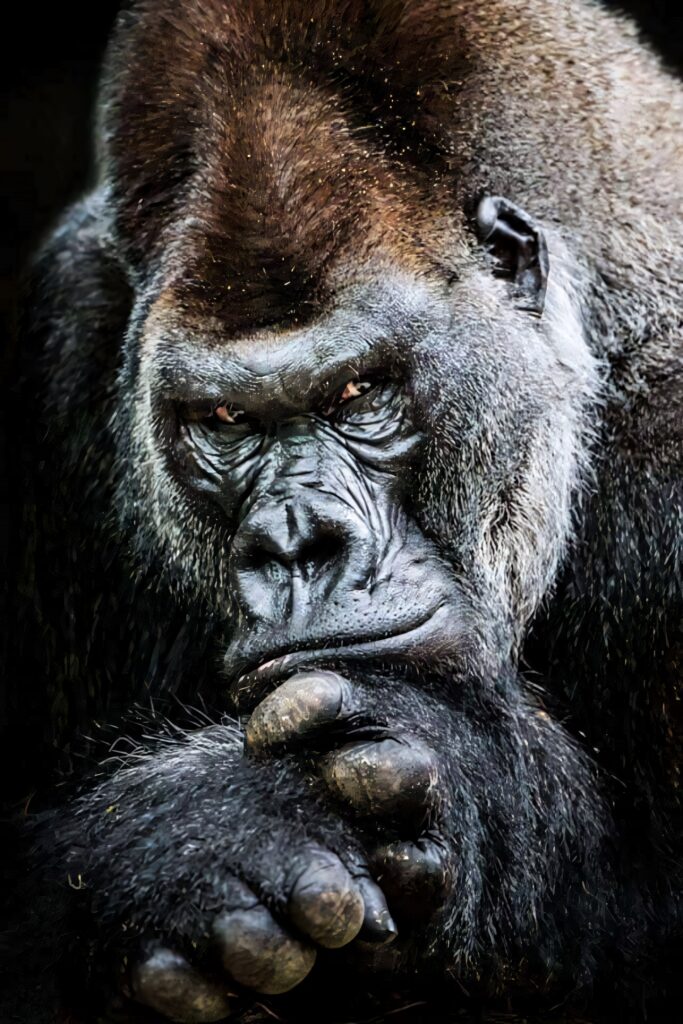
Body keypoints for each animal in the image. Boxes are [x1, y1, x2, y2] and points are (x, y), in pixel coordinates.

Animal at [1, 1, 681, 1022]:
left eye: (361, 392)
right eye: (224, 420)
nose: (295, 543)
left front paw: (467, 782)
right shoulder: (70, 331)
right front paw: (189, 845)